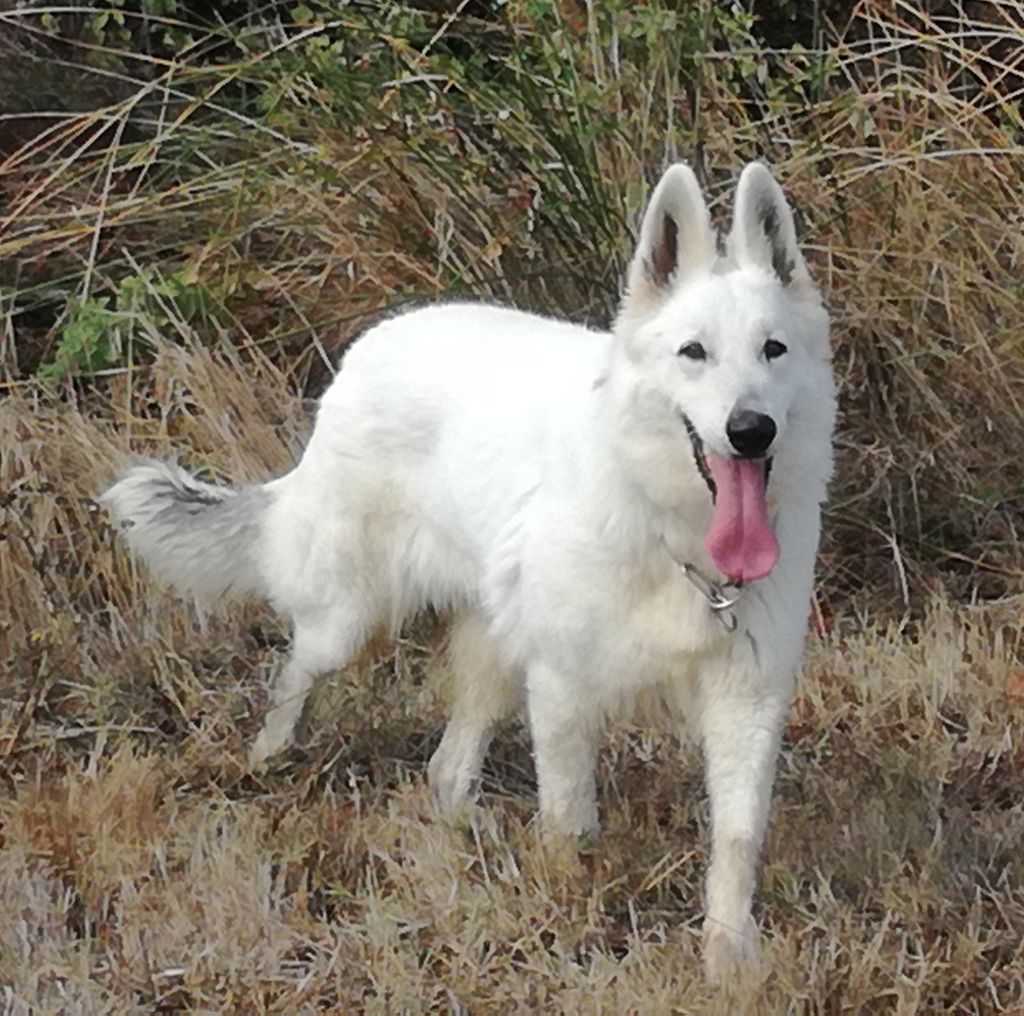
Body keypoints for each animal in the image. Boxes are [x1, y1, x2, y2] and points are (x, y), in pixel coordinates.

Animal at [101, 161, 835, 979]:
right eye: (694, 353)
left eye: (772, 350)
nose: (750, 430)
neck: (670, 531)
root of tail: (372, 345)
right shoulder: (563, 688)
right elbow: (571, 821)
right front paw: (568, 915)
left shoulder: (747, 700)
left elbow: (736, 842)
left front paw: (728, 958)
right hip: (348, 626)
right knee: (295, 674)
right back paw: (266, 760)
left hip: (492, 657)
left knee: (447, 766)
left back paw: (458, 837)